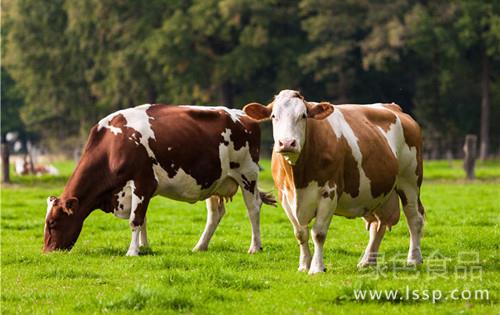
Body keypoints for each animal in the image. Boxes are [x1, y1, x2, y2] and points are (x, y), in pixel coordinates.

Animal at [45, 105, 276, 256]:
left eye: (53, 223)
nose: (46, 251)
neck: (112, 146)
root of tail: (245, 116)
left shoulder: (143, 182)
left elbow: (136, 219)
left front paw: (132, 251)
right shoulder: (137, 190)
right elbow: (143, 218)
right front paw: (144, 247)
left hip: (247, 175)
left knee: (253, 208)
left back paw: (255, 247)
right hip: (214, 181)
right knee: (215, 214)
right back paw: (200, 246)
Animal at [244, 89, 424, 274]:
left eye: (303, 115)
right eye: (274, 116)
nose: (287, 143)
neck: (298, 180)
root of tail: (393, 107)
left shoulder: (329, 192)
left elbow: (318, 233)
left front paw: (316, 268)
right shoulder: (285, 197)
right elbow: (300, 233)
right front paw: (304, 265)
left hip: (410, 181)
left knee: (414, 218)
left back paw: (414, 259)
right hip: (375, 192)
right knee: (378, 224)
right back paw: (367, 261)